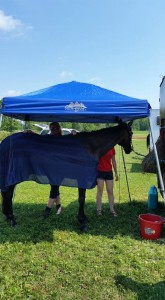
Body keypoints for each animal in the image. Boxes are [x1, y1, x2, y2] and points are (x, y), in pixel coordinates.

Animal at [0, 120, 133, 231]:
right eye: (131, 132)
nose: (129, 149)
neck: (91, 146)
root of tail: (4, 142)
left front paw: (84, 218)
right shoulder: (82, 178)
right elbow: (81, 199)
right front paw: (82, 221)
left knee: (7, 194)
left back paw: (8, 217)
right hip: (12, 176)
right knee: (8, 194)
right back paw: (12, 220)